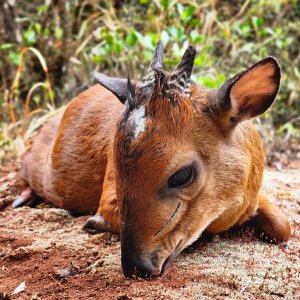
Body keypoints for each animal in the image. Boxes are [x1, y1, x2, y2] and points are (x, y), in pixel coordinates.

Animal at [14, 42, 290, 278]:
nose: (136, 267)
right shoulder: (107, 199)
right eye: (115, 163)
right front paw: (94, 223)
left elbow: (284, 226)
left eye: (182, 175)